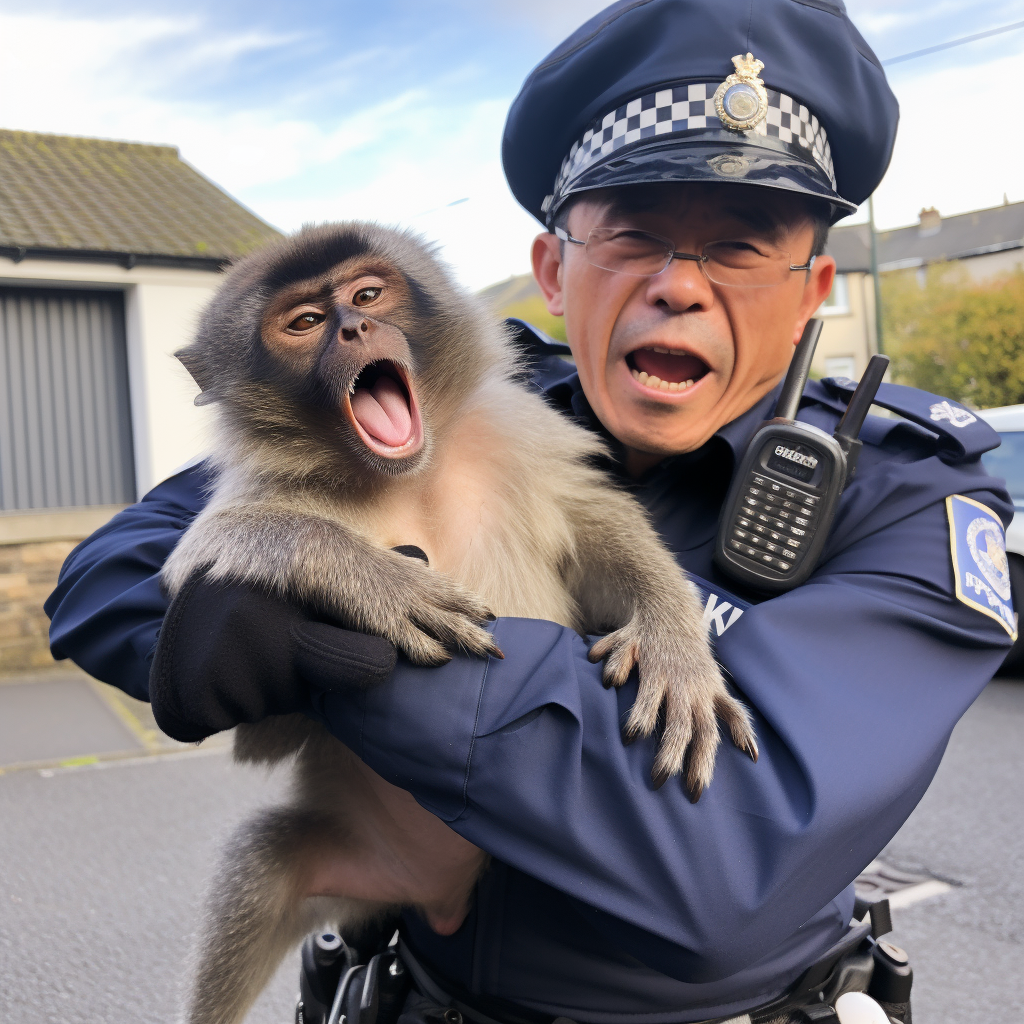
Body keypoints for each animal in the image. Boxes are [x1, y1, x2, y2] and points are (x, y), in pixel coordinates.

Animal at [163, 222, 757, 1024]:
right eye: (305, 322)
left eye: (367, 294)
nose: (354, 329)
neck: (405, 473)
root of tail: (435, 894)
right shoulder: (261, 494)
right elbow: (259, 713)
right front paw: (375, 582)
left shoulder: (519, 435)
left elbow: (596, 526)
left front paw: (674, 647)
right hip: (354, 874)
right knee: (261, 861)